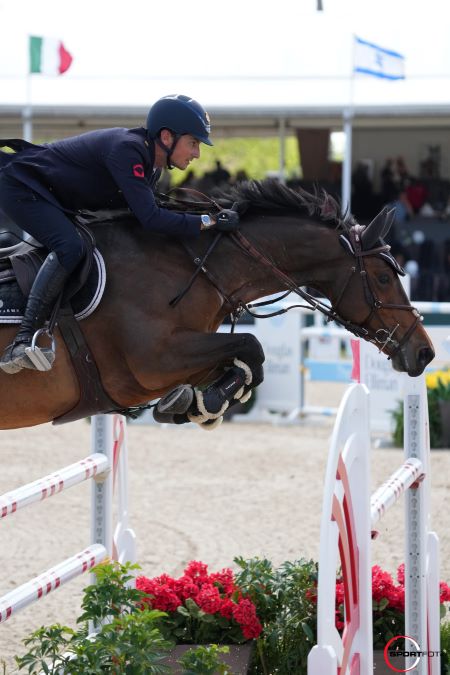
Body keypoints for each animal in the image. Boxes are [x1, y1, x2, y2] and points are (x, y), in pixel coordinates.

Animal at [0, 181, 436, 428]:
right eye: (383, 278)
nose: (425, 352)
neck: (196, 266)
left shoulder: (183, 356)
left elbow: (247, 360)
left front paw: (194, 404)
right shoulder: (152, 362)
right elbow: (251, 345)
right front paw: (205, 402)